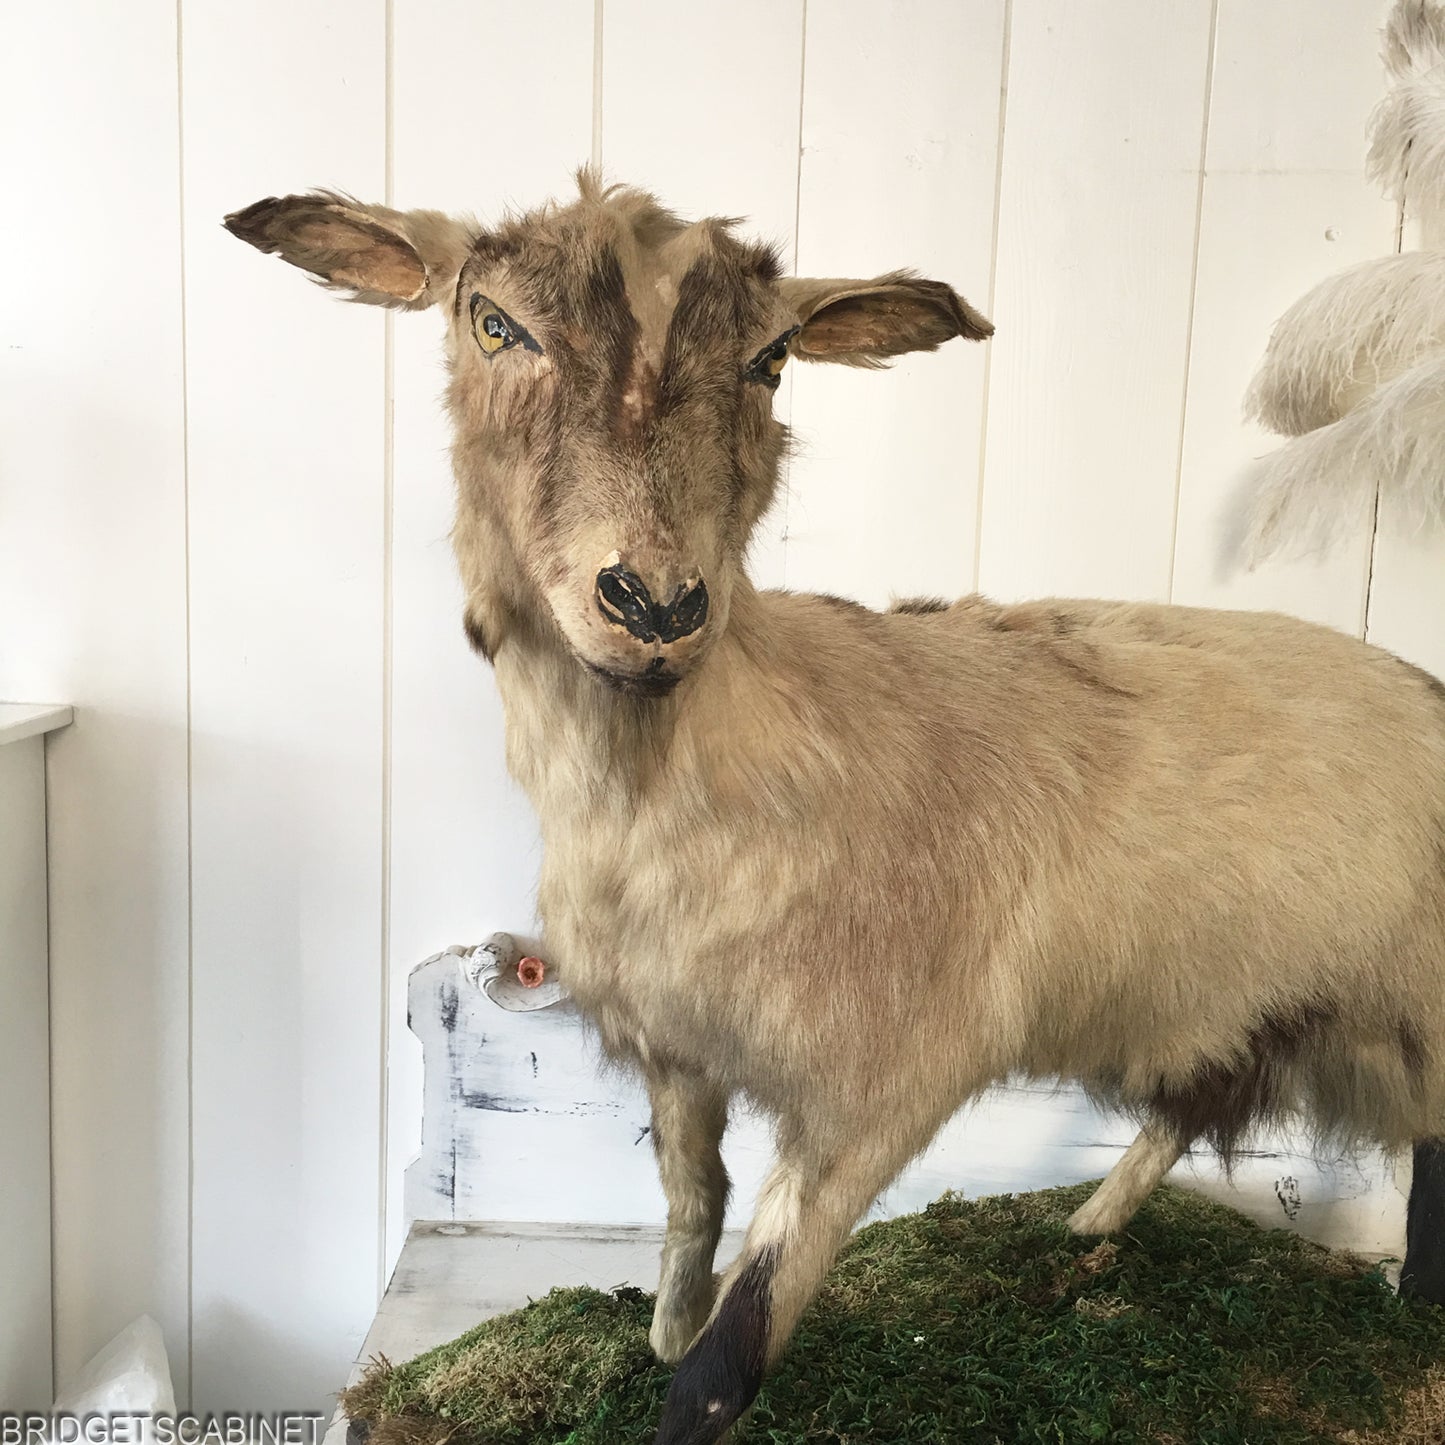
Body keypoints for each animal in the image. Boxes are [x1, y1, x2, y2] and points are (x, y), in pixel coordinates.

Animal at [226, 174, 1445, 1445]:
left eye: (771, 359)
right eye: (494, 323)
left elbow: (730, 1351)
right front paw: (653, 1327)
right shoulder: (677, 1042)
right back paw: (1082, 1227)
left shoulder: (880, 1085)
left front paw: (685, 1377)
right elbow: (689, 1216)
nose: (655, 606)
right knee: (1188, 1104)